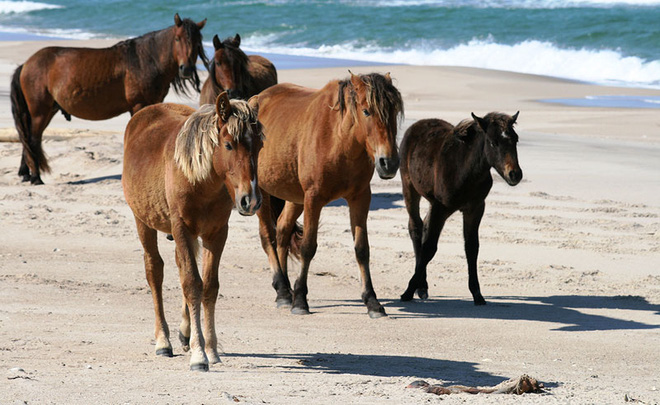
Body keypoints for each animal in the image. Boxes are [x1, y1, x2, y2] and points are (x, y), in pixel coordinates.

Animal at [13, 13, 209, 185]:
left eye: (197, 42)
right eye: (177, 39)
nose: (186, 69)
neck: (145, 60)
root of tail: (27, 64)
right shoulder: (138, 105)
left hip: (47, 111)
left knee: (29, 139)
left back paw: (26, 174)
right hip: (40, 112)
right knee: (32, 139)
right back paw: (36, 177)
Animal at [255, 72, 404, 318]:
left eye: (394, 111)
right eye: (366, 111)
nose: (389, 163)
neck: (339, 140)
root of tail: (256, 99)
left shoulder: (360, 198)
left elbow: (362, 249)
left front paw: (372, 301)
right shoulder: (313, 199)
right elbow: (308, 247)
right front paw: (301, 301)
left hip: (295, 196)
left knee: (283, 230)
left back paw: (285, 289)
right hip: (260, 193)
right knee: (268, 236)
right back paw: (284, 291)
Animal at [400, 110, 524, 304]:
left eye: (516, 139)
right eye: (493, 142)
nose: (514, 174)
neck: (466, 171)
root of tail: (418, 124)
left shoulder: (475, 208)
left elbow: (472, 248)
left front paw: (477, 294)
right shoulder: (440, 208)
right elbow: (429, 248)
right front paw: (408, 291)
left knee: (424, 225)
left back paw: (423, 286)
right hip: (409, 188)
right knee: (416, 228)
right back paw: (421, 286)